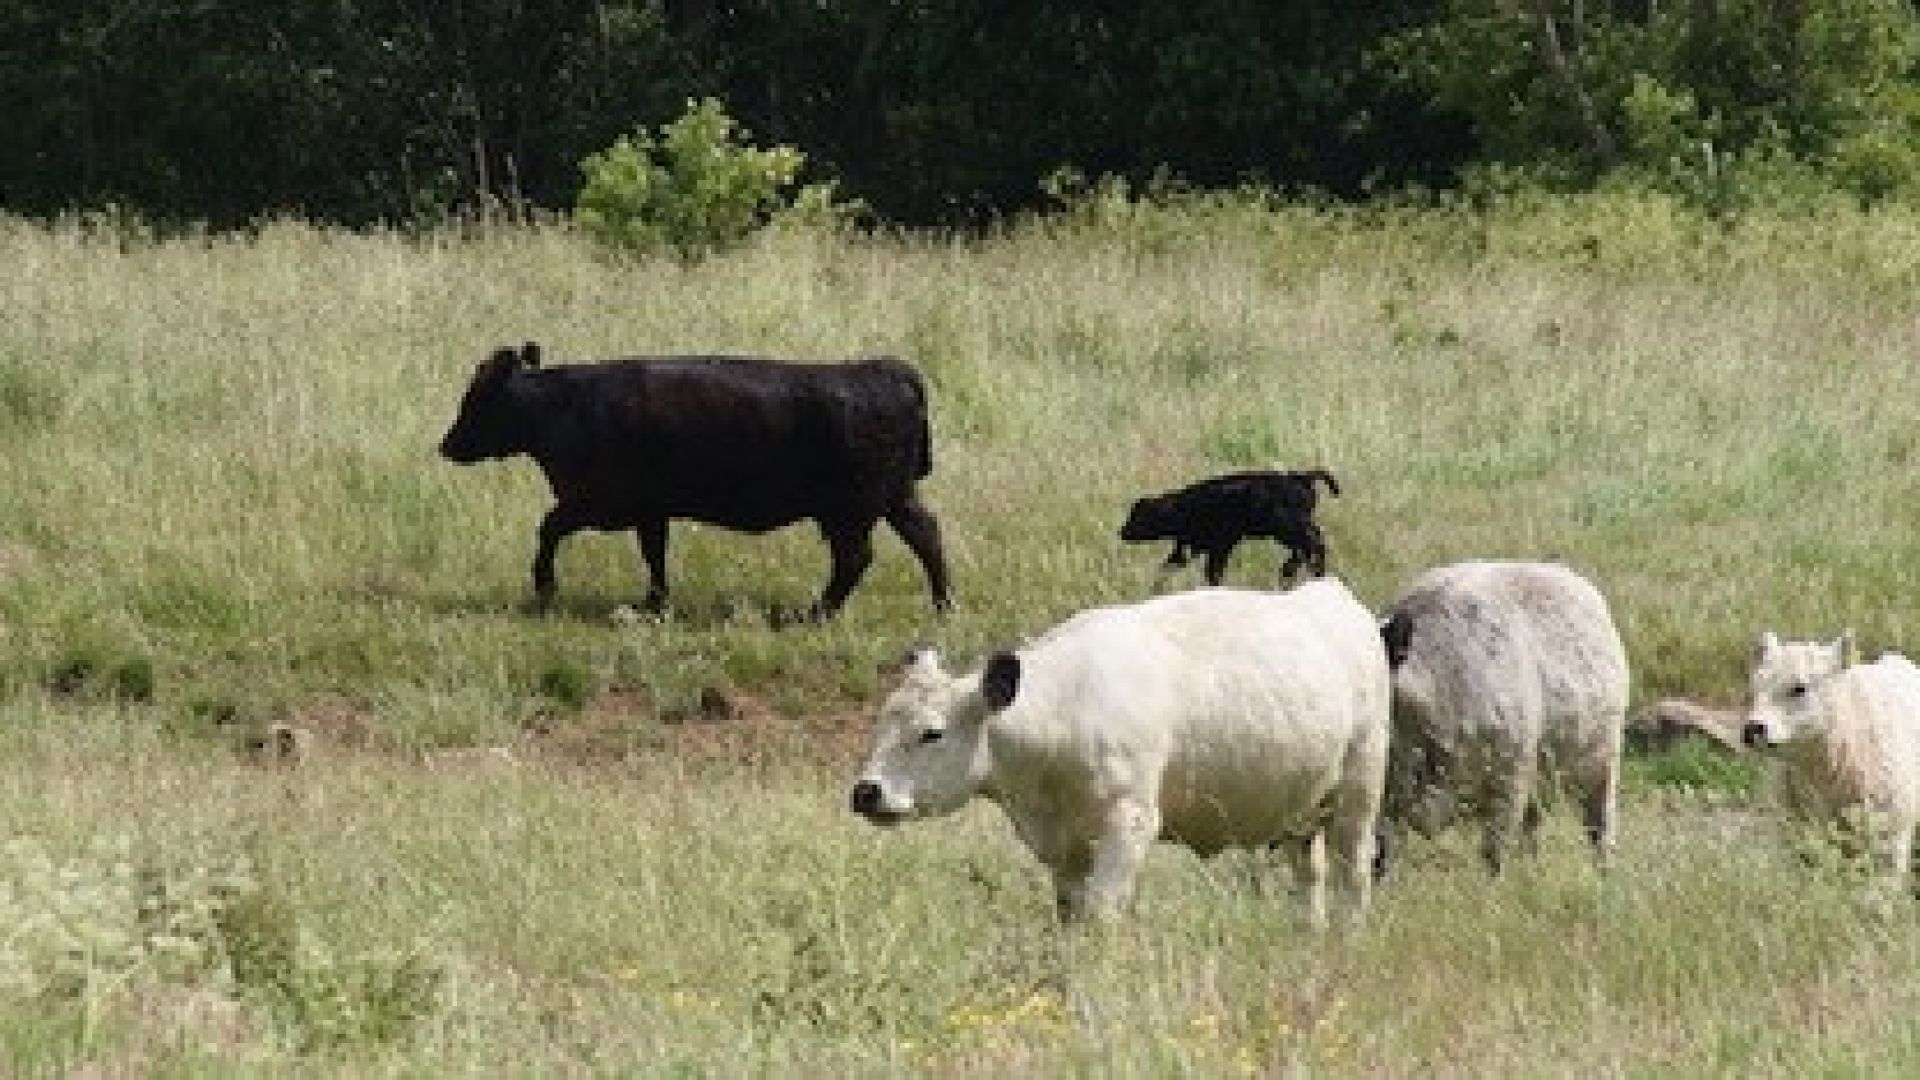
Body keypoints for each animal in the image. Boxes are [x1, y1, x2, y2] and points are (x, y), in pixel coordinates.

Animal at [433, 340, 944, 618]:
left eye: (476, 400)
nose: (446, 444)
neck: (562, 407)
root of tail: (884, 369)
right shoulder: (649, 509)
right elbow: (654, 553)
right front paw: (654, 602)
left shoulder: (596, 502)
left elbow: (548, 528)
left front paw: (545, 588)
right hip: (895, 497)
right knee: (926, 534)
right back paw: (942, 604)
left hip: (850, 510)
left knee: (855, 559)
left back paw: (814, 614)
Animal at [848, 580, 1390, 926]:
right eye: (881, 723)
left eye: (931, 733)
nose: (865, 792)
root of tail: (1331, 595)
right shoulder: (1065, 848)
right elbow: (1071, 915)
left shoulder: (1129, 824)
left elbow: (1102, 914)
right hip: (1302, 811)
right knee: (1310, 877)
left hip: (1358, 791)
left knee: (1353, 872)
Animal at [1121, 466, 1344, 584]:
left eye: (1137, 517)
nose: (1122, 531)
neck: (1183, 506)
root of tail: (1302, 476)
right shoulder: (1189, 547)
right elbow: (1169, 565)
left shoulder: (1220, 545)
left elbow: (1213, 571)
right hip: (1288, 530)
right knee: (1308, 545)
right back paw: (1294, 571)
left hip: (1287, 528)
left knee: (1312, 543)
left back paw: (1300, 571)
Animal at [1374, 557, 1628, 868]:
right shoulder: (1384, 802)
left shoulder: (1509, 780)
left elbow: (1494, 854)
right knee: (1533, 829)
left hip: (1603, 762)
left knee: (1600, 827)